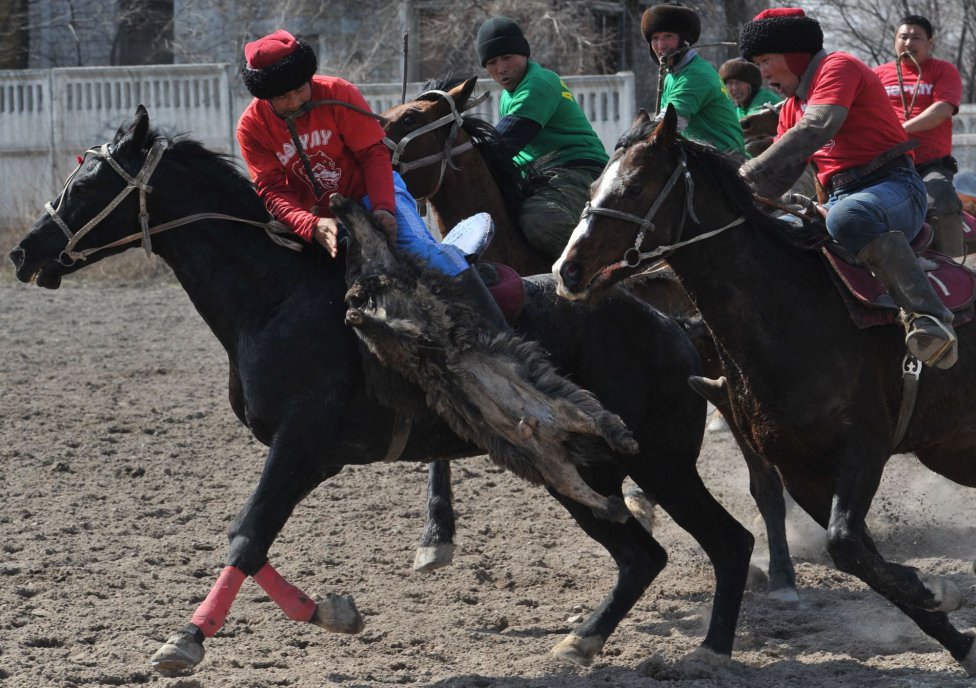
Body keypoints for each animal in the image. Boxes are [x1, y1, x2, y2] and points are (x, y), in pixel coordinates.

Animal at [552, 105, 976, 676]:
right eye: (595, 184)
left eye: (636, 187)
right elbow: (859, 556)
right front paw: (955, 632)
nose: (568, 271)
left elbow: (848, 546)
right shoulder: (802, 470)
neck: (790, 311)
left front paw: (936, 589)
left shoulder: (864, 448)